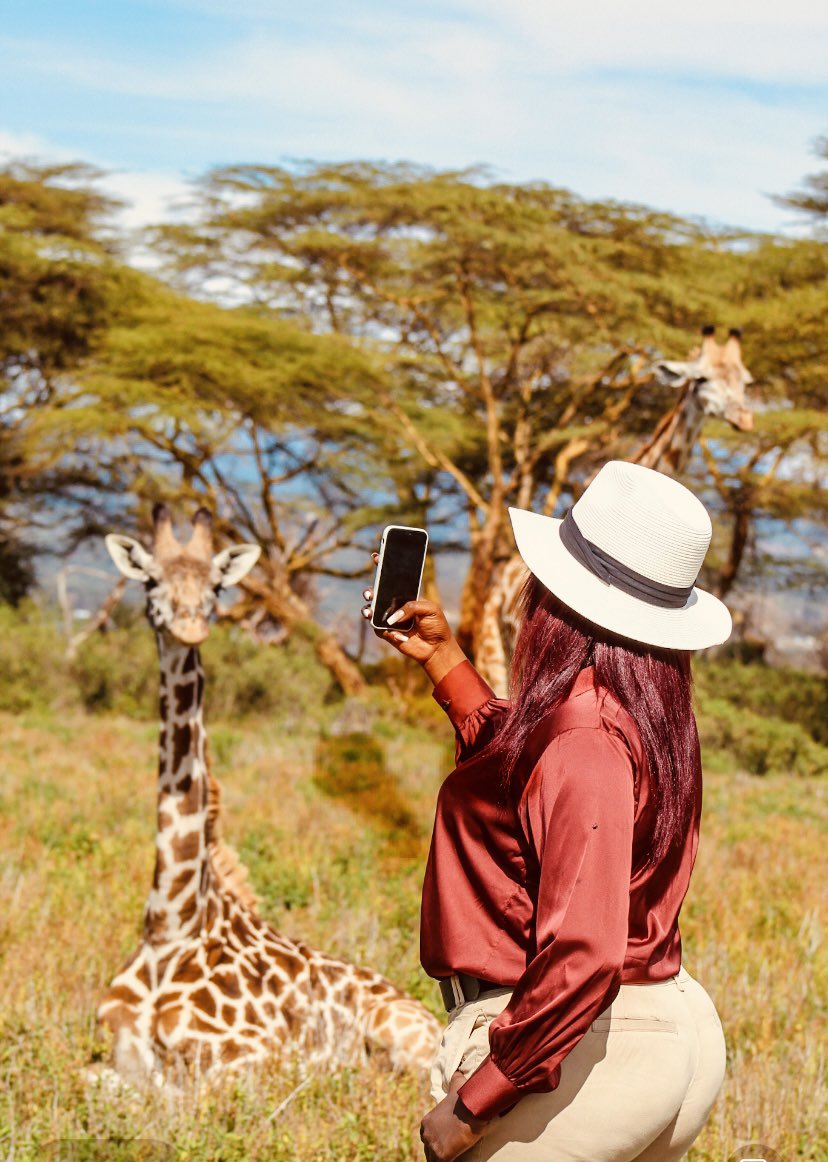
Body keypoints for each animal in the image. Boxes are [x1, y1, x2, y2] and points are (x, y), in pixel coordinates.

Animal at [88, 504, 440, 1095]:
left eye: (216, 585)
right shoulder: (111, 1053)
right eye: (152, 581)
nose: (190, 623)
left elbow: (165, 1095)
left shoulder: (247, 1062)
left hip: (405, 1035)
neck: (171, 924)